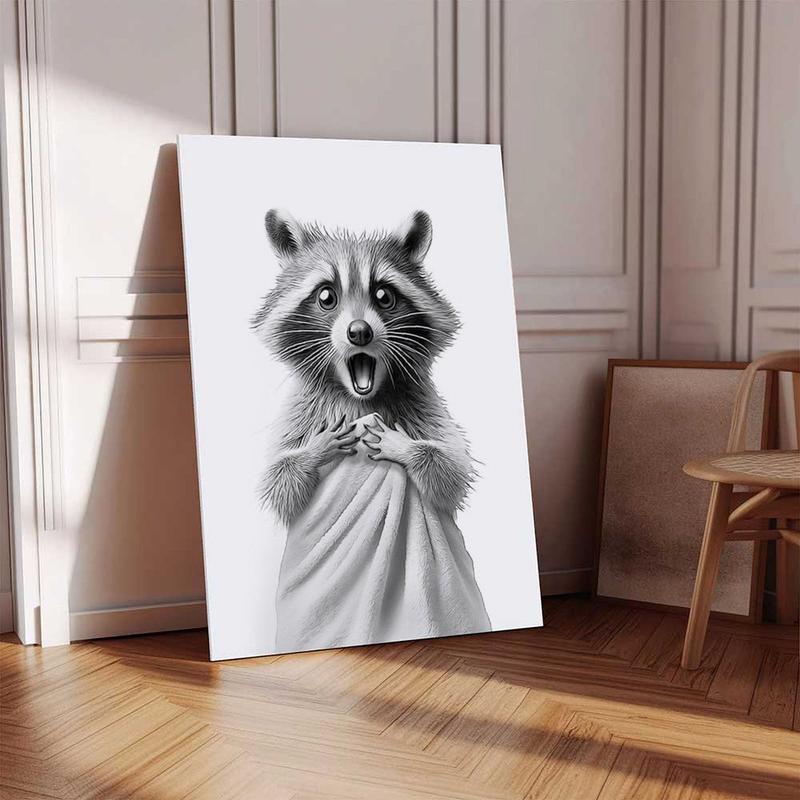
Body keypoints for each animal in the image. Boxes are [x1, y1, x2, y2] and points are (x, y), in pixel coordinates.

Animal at [252, 209, 475, 524]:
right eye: (326, 297)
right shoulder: (299, 414)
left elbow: (451, 472)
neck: (359, 399)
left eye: (384, 296)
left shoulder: (425, 408)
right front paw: (314, 450)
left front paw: (406, 448)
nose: (359, 332)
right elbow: (278, 484)